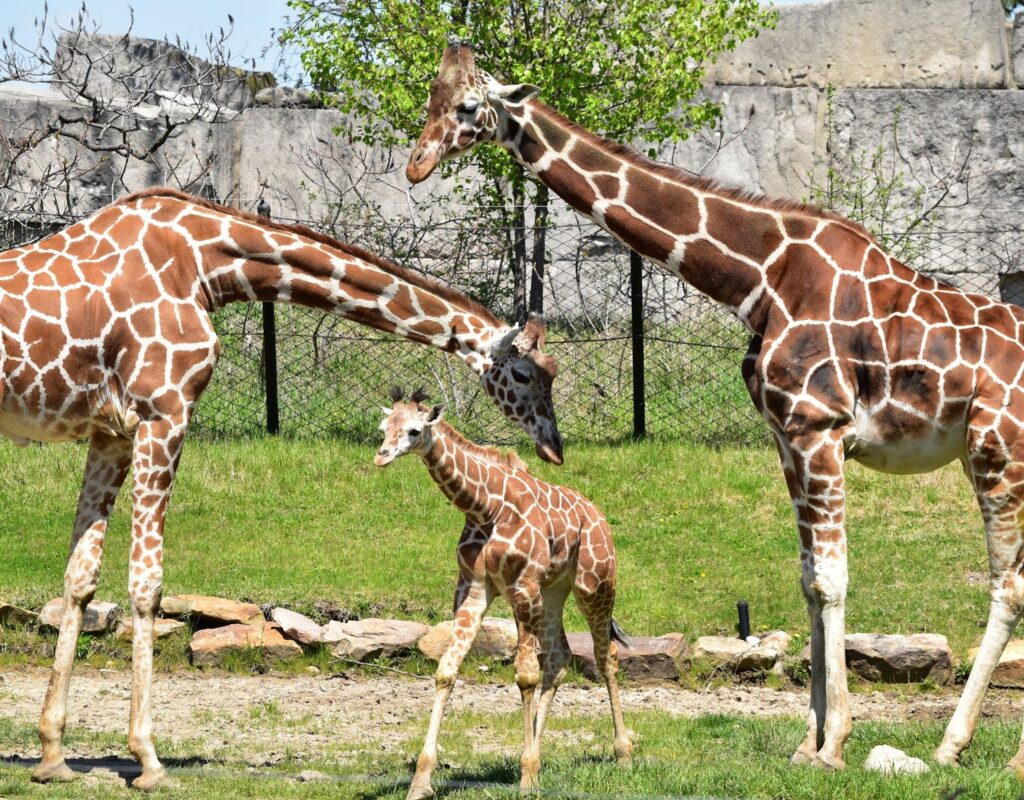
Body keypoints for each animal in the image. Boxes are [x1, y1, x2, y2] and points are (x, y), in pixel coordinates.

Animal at [2, 188, 561, 790]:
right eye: (526, 375)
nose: (554, 447)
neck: (206, 266)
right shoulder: (163, 413)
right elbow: (146, 586)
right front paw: (148, 758)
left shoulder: (112, 432)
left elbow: (79, 579)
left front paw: (52, 754)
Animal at [376, 385, 630, 790]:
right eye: (384, 428)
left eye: (415, 430)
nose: (381, 456)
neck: (484, 509)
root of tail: (598, 514)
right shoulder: (473, 589)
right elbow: (447, 670)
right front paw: (421, 780)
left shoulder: (522, 586)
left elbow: (524, 676)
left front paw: (526, 777)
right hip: (553, 589)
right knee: (558, 657)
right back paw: (541, 756)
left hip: (594, 583)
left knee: (606, 656)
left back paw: (623, 753)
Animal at [407, 42, 1024, 774]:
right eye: (429, 98)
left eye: (468, 106)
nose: (416, 164)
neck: (758, 278)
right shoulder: (789, 437)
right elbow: (809, 580)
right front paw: (807, 742)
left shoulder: (819, 429)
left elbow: (834, 581)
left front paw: (835, 744)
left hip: (997, 450)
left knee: (1008, 585)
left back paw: (960, 745)